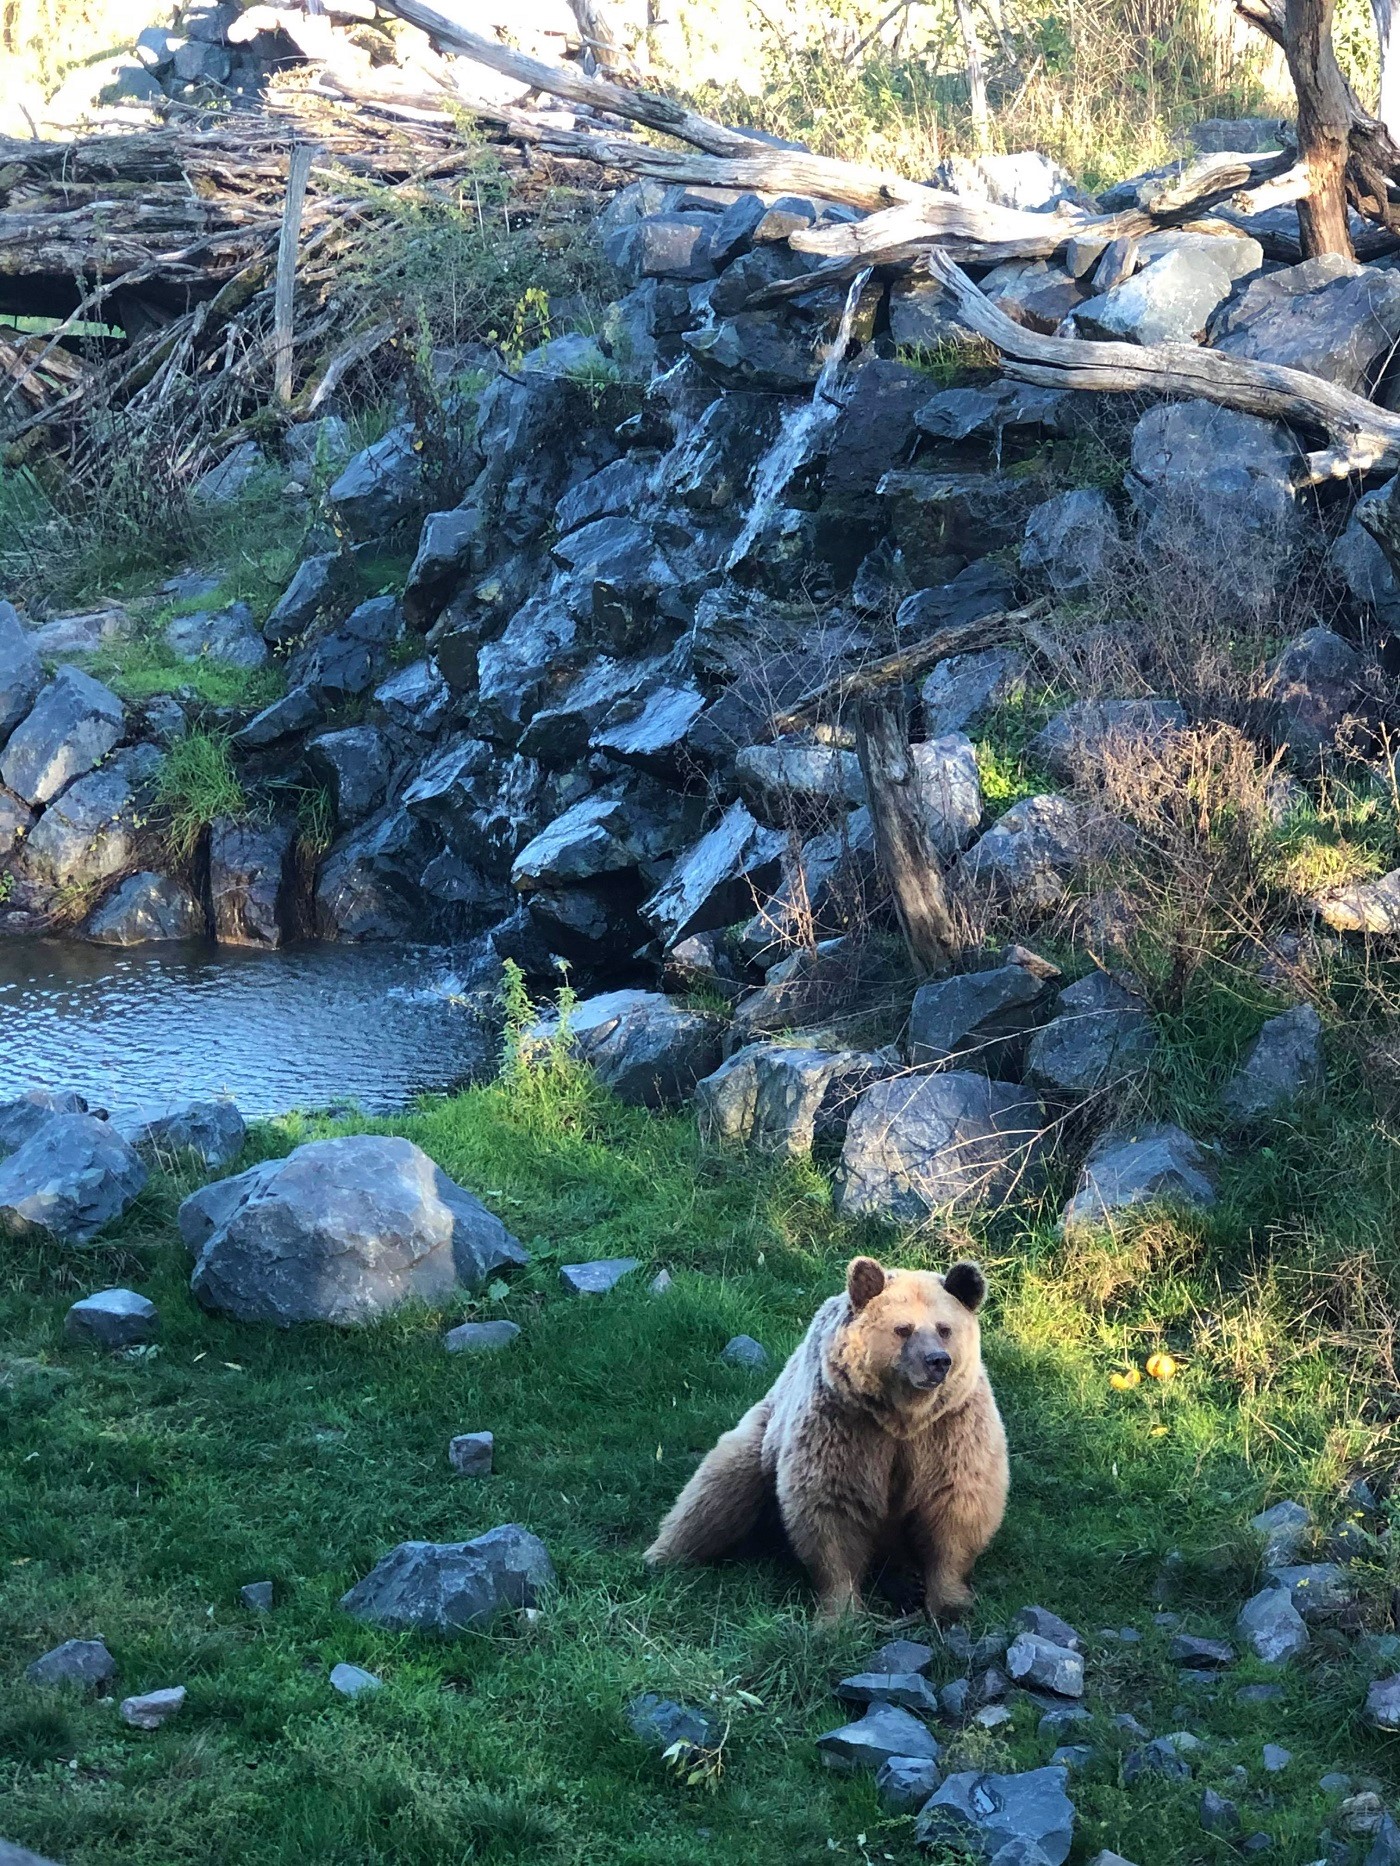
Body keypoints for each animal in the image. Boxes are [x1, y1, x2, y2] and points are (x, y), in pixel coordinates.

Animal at [645, 1253, 1008, 1619]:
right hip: (762, 1437)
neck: (902, 1418)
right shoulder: (845, 1427)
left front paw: (950, 1602)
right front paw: (840, 1613)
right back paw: (661, 1555)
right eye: (903, 1329)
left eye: (944, 1329)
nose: (937, 1361)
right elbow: (832, 1511)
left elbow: (955, 1506)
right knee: (715, 1491)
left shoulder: (950, 1430)